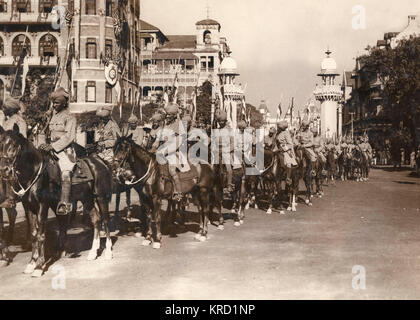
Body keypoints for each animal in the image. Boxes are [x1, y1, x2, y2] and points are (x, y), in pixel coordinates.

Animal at [0, 124, 113, 276]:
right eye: (0, 144)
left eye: (14, 145)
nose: (4, 169)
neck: (34, 173)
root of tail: (100, 161)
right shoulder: (28, 206)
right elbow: (34, 234)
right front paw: (31, 263)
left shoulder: (43, 205)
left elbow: (41, 235)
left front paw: (39, 266)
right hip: (87, 199)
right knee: (96, 219)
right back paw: (92, 252)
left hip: (101, 197)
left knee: (105, 220)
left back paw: (108, 252)